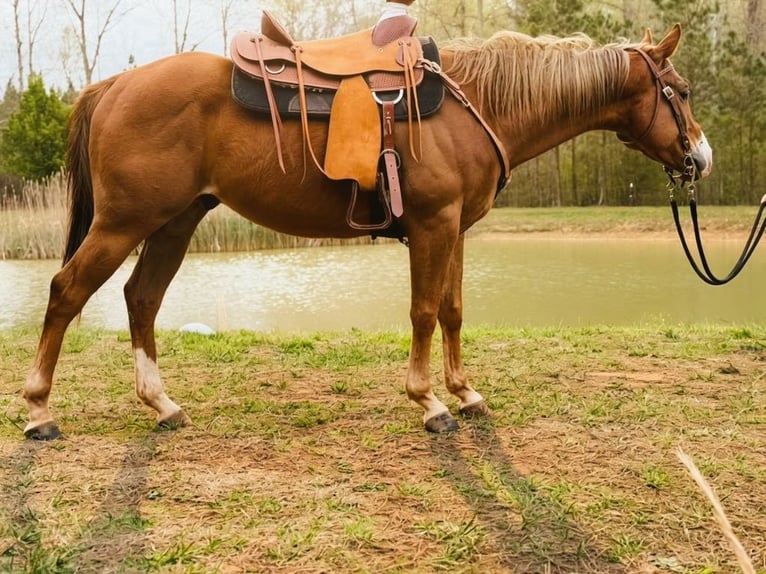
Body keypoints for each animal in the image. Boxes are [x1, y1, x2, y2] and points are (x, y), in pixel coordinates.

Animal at [20, 23, 712, 440]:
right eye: (678, 90)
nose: (700, 159)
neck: (477, 105)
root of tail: (116, 84)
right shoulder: (433, 226)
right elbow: (424, 312)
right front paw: (430, 402)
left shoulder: (457, 230)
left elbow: (454, 311)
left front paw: (465, 393)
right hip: (124, 222)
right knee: (65, 292)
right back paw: (39, 409)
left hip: (173, 223)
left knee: (141, 299)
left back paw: (161, 405)